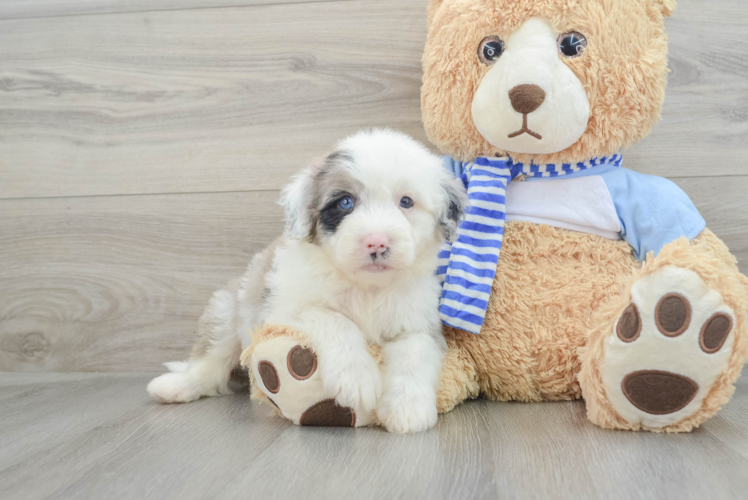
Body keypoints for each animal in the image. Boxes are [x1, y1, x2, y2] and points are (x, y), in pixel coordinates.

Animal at [148, 130, 468, 434]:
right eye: (345, 202)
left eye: (406, 202)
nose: (376, 242)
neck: (367, 289)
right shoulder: (283, 310)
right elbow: (334, 319)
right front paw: (356, 377)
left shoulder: (417, 322)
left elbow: (416, 352)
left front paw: (407, 408)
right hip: (228, 312)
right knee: (208, 363)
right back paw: (175, 386)